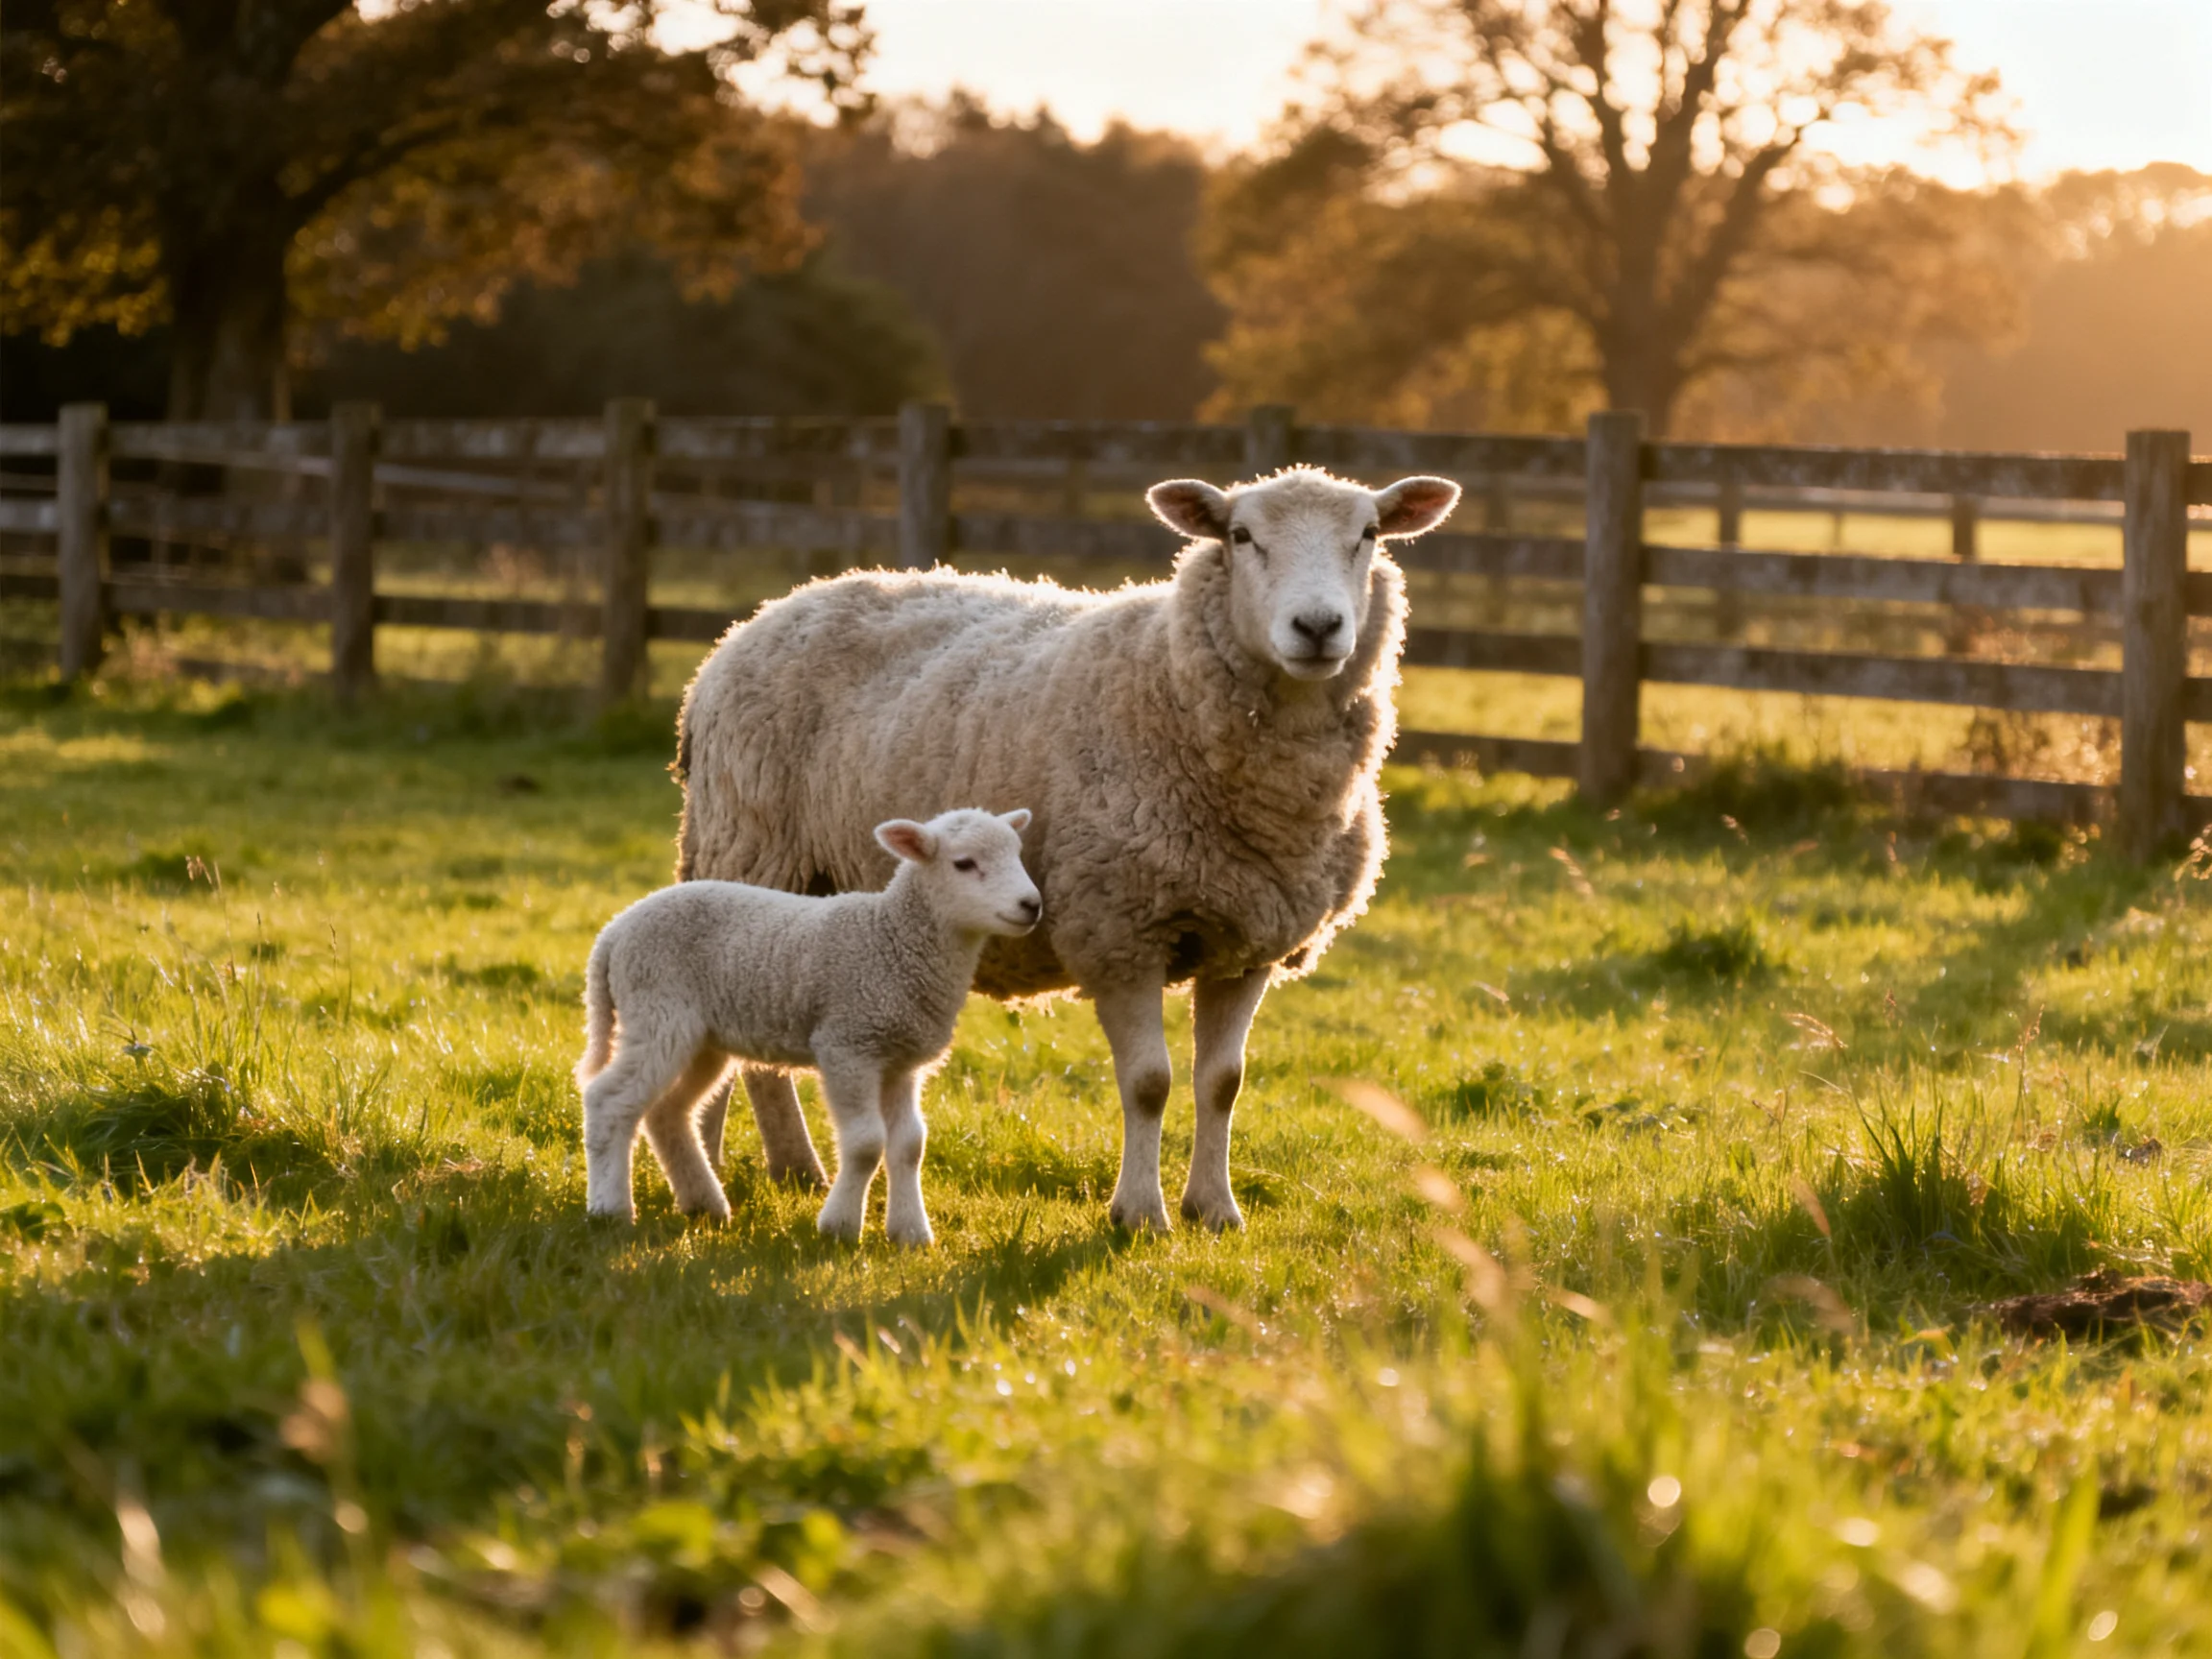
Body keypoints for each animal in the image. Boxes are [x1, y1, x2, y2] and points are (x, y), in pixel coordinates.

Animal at [576, 807, 1041, 1242]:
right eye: (964, 863)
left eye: (1017, 854)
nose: (1032, 905)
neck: (892, 940)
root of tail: (613, 932)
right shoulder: (848, 1044)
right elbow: (866, 1143)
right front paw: (839, 1227)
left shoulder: (901, 1061)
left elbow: (910, 1145)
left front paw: (911, 1234)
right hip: (657, 1011)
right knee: (609, 1101)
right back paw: (610, 1209)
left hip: (700, 1038)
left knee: (667, 1112)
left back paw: (704, 1205)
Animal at [673, 465, 1461, 1234]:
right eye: (1241, 536)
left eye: (1369, 534)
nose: (1318, 626)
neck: (1168, 680)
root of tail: (758, 618)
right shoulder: (1119, 931)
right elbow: (1149, 1084)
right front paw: (1140, 1215)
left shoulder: (1247, 943)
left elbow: (1221, 1084)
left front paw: (1214, 1209)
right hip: (747, 852)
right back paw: (722, 1176)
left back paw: (793, 1170)